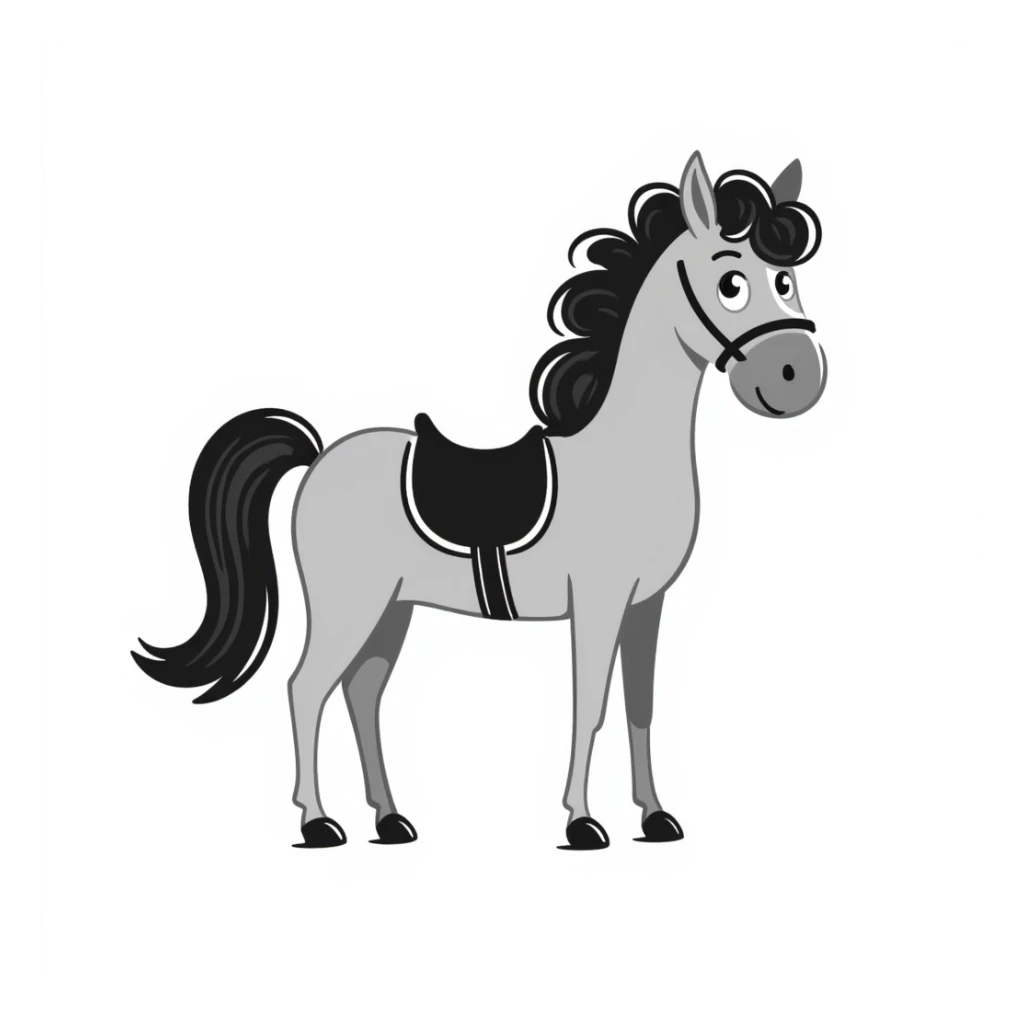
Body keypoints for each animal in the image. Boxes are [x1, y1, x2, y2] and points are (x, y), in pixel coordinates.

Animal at [132, 151, 826, 850]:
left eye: (785, 279)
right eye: (731, 283)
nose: (798, 378)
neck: (627, 451)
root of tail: (322, 456)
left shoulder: (645, 606)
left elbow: (640, 707)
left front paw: (655, 817)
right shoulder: (598, 603)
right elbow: (591, 706)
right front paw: (582, 822)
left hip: (391, 610)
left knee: (362, 693)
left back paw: (389, 820)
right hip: (347, 607)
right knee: (306, 690)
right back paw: (319, 821)